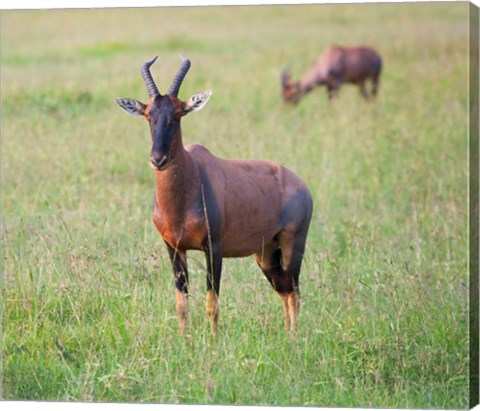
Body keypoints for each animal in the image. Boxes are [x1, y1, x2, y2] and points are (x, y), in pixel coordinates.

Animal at [114, 55, 314, 334]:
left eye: (178, 115)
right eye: (148, 115)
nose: (158, 160)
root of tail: (302, 185)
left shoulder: (214, 247)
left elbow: (212, 303)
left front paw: (212, 340)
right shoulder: (173, 248)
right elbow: (182, 302)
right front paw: (184, 339)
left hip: (292, 243)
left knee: (294, 291)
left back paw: (294, 337)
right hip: (265, 253)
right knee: (284, 290)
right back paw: (286, 335)